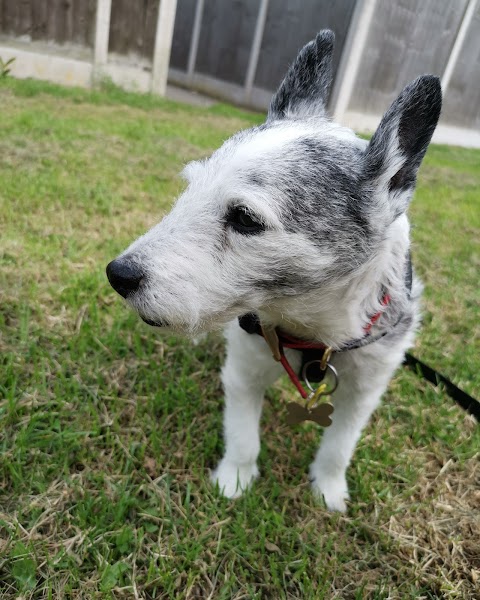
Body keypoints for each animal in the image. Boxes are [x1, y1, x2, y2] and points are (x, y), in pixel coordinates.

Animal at [108, 31, 442, 510]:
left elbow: (339, 447)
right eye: (190, 189)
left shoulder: (365, 387)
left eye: (245, 218)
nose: (118, 275)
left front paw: (328, 489)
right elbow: (243, 437)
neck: (311, 333)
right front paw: (235, 479)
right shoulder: (245, 369)